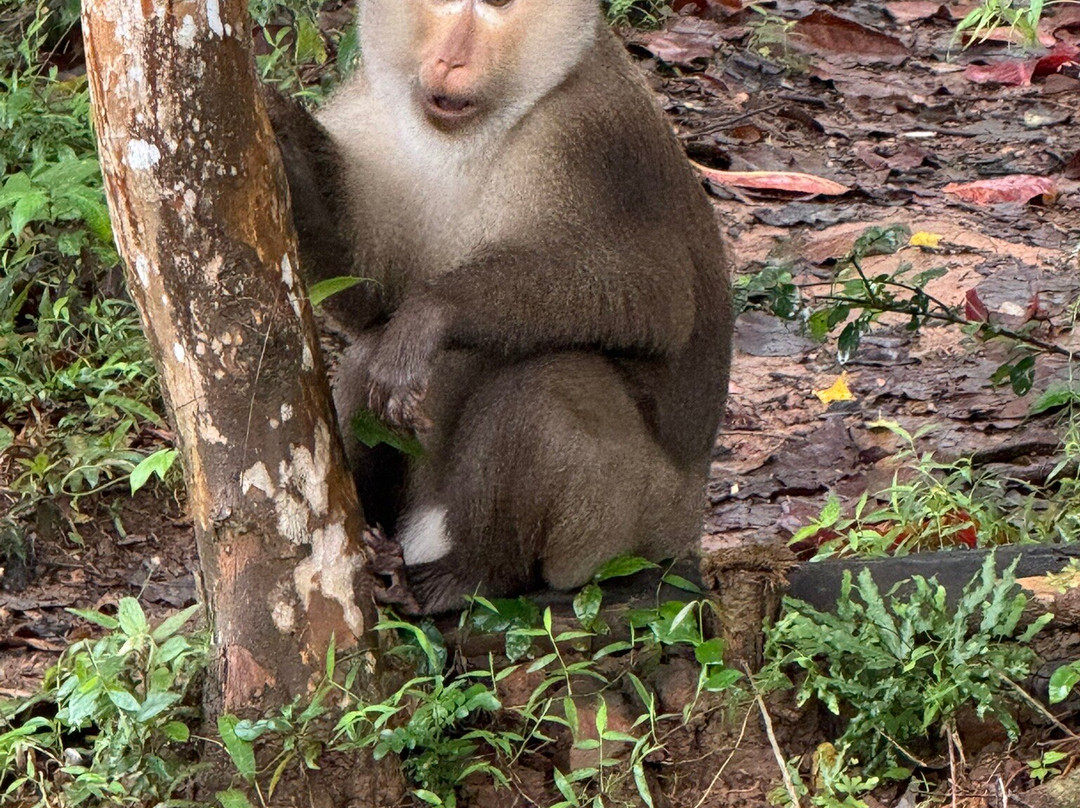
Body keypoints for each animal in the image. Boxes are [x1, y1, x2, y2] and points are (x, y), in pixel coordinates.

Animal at [268, 0, 733, 615]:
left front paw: (434, 312)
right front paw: (278, 125)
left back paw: (475, 573)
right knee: (369, 356)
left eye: (496, 7)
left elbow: (657, 298)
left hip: (627, 522)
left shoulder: (587, 136)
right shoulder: (371, 113)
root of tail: (689, 526)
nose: (450, 59)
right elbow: (370, 297)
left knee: (546, 384)